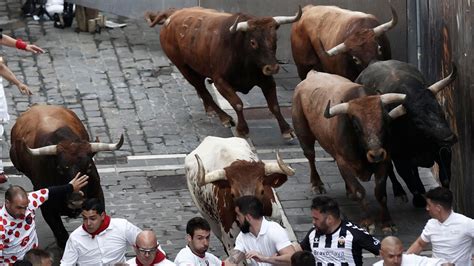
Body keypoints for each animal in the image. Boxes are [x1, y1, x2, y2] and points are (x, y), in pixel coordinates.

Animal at [9, 104, 124, 247]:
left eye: (89, 167)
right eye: (60, 169)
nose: (76, 200)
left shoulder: (97, 195)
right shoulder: (48, 210)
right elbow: (62, 236)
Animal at [143, 6, 304, 139]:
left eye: (274, 39)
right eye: (253, 42)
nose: (272, 68)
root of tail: (173, 14)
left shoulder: (267, 80)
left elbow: (274, 106)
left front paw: (287, 130)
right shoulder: (220, 82)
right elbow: (238, 104)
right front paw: (242, 129)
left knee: (201, 90)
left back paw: (210, 110)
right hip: (183, 67)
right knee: (202, 90)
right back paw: (224, 117)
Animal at [358, 60, 458, 208]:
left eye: (441, 111)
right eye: (417, 121)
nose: (449, 138)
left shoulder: (443, 151)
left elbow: (444, 179)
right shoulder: (400, 159)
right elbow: (411, 183)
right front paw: (419, 200)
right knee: (390, 170)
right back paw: (399, 192)